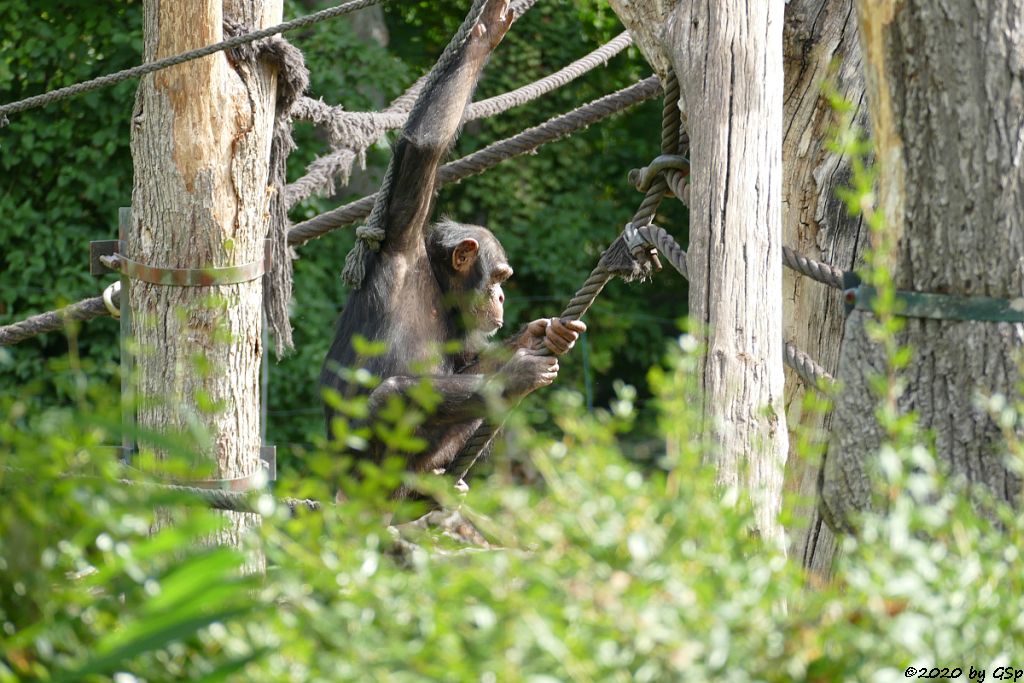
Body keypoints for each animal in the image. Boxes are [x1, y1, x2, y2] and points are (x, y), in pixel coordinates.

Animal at [323, 0, 589, 493]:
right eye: (500, 277)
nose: (502, 296)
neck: (436, 283)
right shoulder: (402, 239)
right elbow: (423, 147)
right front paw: (483, 34)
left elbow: (472, 361)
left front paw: (544, 332)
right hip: (362, 471)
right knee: (393, 395)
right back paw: (516, 380)